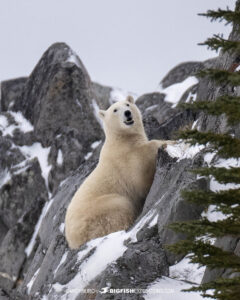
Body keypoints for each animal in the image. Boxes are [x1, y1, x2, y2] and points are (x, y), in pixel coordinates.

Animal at [65, 95, 174, 248]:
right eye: (115, 110)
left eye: (127, 104)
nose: (127, 113)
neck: (121, 140)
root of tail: (72, 240)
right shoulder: (128, 159)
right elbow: (143, 170)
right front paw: (171, 142)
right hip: (103, 208)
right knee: (119, 209)